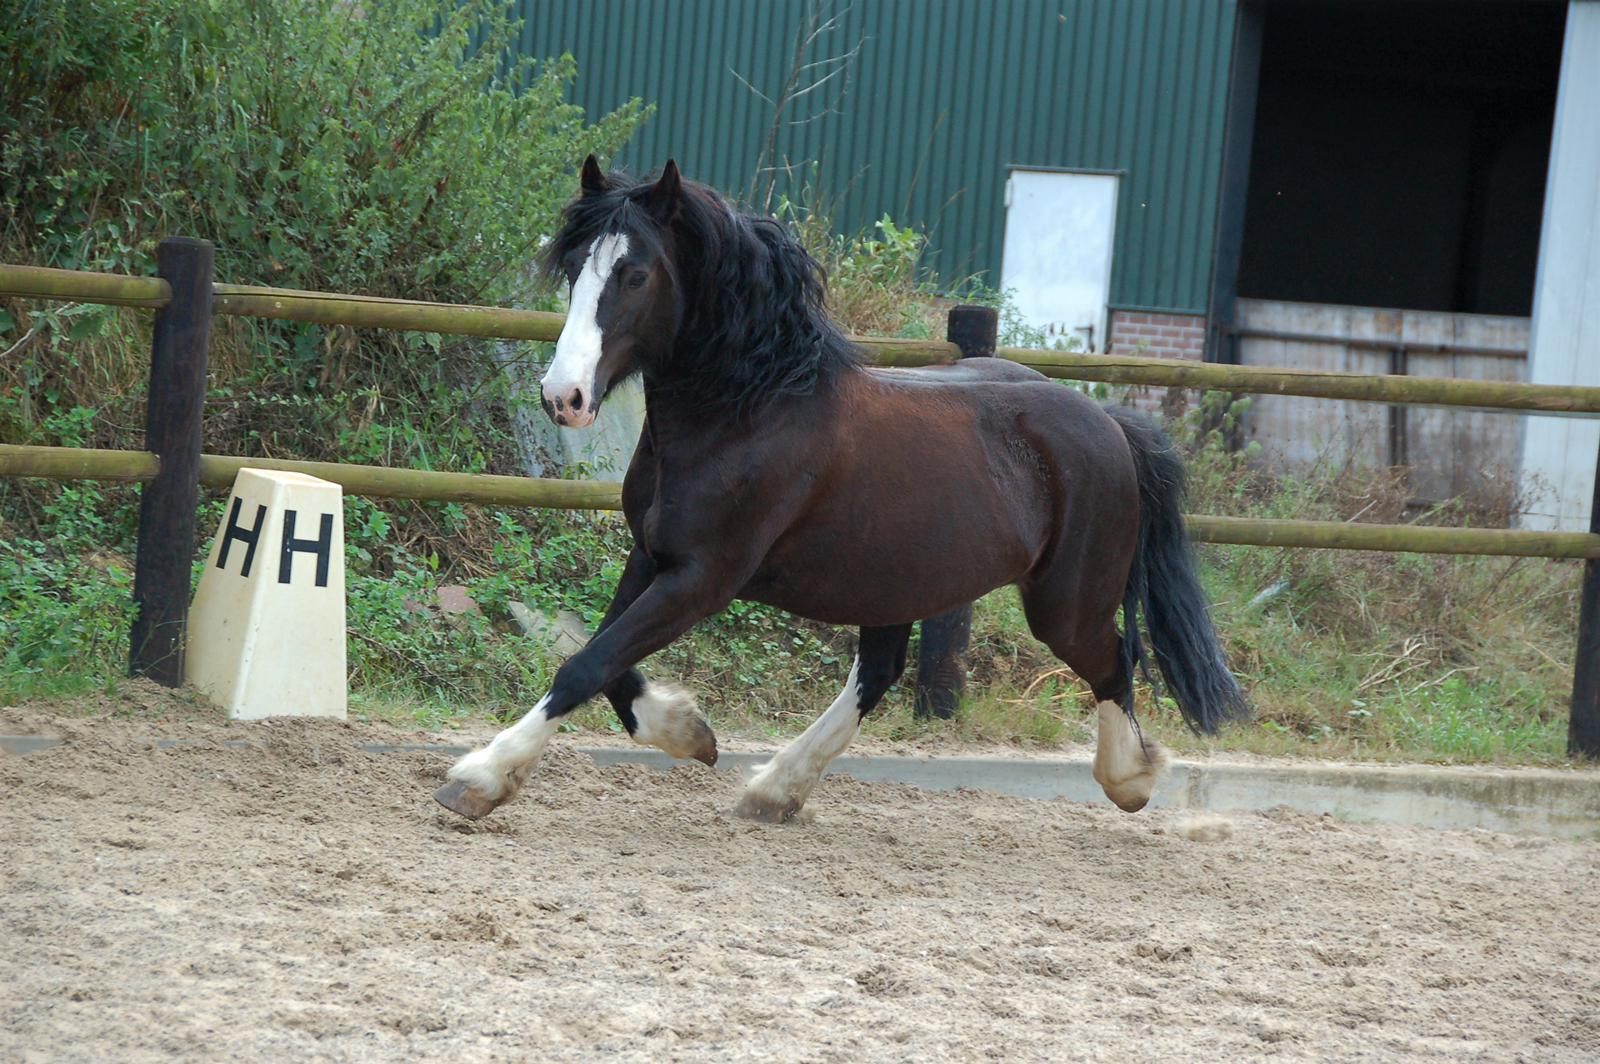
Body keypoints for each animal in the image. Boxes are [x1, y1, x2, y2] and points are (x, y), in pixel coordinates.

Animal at [438, 156, 1248, 819]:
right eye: (576, 269)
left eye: (634, 274)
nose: (563, 397)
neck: (747, 410)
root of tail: (1110, 424)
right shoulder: (651, 558)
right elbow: (607, 664)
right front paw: (692, 734)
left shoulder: (703, 577)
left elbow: (585, 664)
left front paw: (479, 777)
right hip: (900, 581)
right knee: (881, 673)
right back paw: (774, 790)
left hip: (1063, 604)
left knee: (1115, 661)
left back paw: (1130, 780)